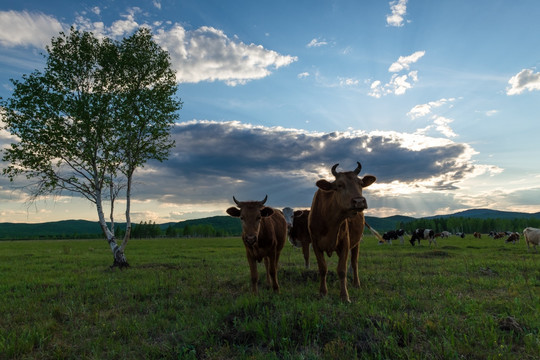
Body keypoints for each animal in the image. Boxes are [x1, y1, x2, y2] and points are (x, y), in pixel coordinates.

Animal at [308, 162, 376, 302]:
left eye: (360, 183)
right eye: (339, 185)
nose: (359, 201)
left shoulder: (345, 242)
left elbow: (342, 270)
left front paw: (344, 296)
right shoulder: (315, 244)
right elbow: (322, 268)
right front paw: (323, 292)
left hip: (357, 243)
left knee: (354, 263)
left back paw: (356, 283)